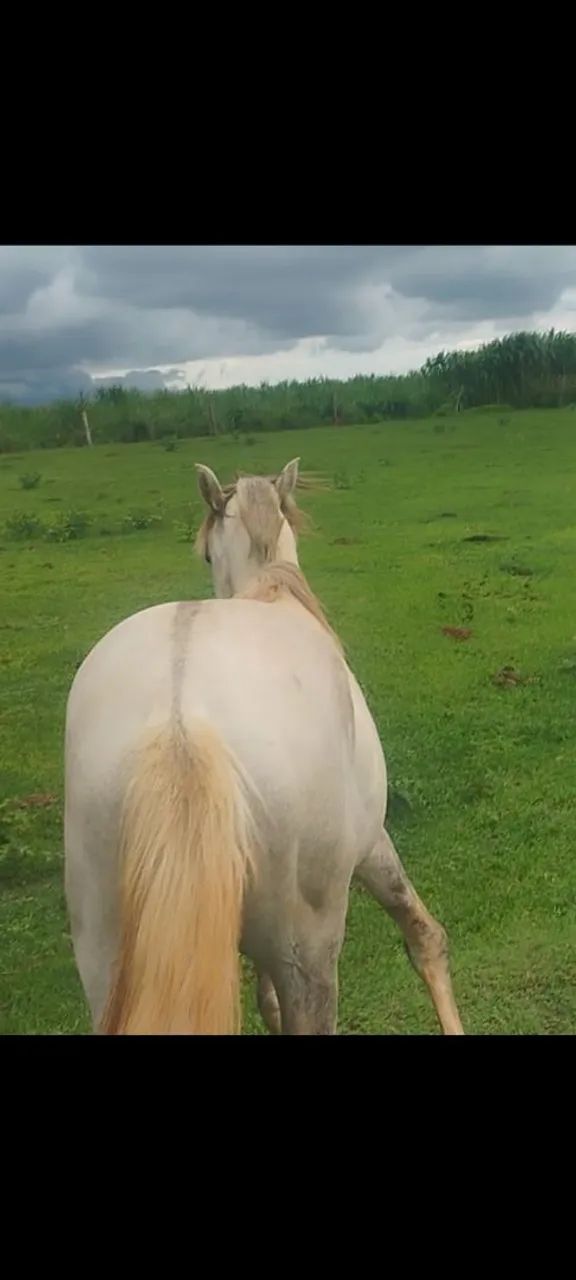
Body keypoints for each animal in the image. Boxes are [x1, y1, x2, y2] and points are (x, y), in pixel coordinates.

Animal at [64, 458, 463, 1035]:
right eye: (208, 554)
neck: (273, 590)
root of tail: (180, 724)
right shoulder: (372, 843)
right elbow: (423, 935)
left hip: (103, 957)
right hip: (310, 947)